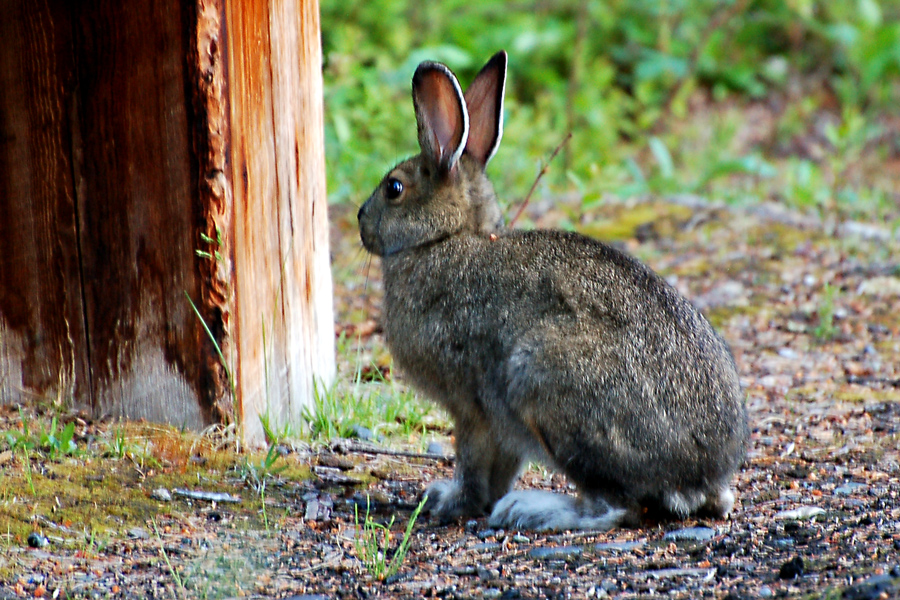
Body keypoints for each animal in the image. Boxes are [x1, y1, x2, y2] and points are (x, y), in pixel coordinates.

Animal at [356, 50, 748, 528]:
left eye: (394, 188)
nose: (360, 219)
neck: (445, 237)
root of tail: (699, 474)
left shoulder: (471, 406)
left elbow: (471, 462)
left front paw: (451, 502)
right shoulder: (498, 421)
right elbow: (501, 465)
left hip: (546, 382)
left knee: (615, 507)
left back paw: (530, 509)